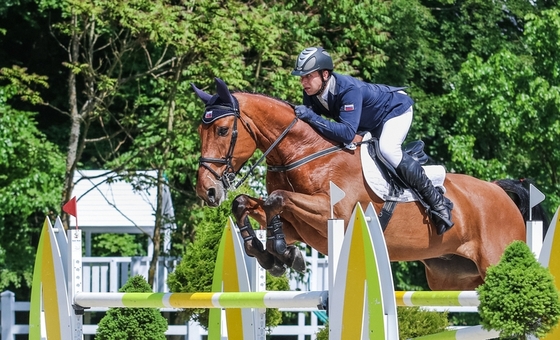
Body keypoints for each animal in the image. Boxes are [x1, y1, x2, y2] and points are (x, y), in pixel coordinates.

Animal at [195, 77, 536, 290]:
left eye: (222, 130)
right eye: (201, 131)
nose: (206, 191)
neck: (303, 153)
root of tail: (500, 192)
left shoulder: (333, 212)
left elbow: (276, 198)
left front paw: (279, 251)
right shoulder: (299, 226)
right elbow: (248, 203)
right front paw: (272, 254)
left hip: (496, 261)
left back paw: (441, 210)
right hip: (453, 276)